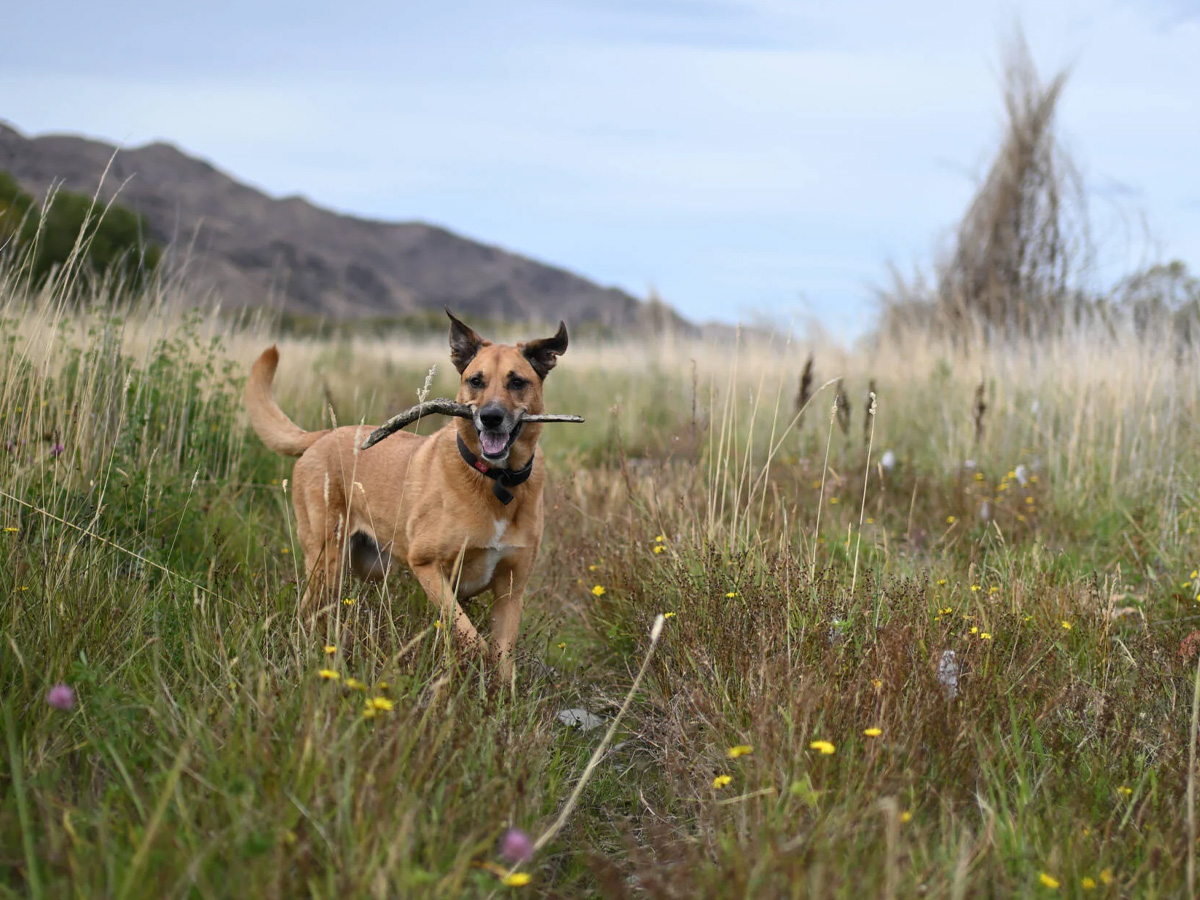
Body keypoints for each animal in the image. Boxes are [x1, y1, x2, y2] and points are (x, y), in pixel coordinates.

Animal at [246, 309, 568, 676]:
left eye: (517, 382)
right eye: (476, 381)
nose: (490, 417)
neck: (493, 478)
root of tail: (324, 434)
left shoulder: (510, 590)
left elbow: (502, 659)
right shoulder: (427, 566)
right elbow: (472, 638)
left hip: (367, 564)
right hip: (327, 561)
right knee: (308, 609)